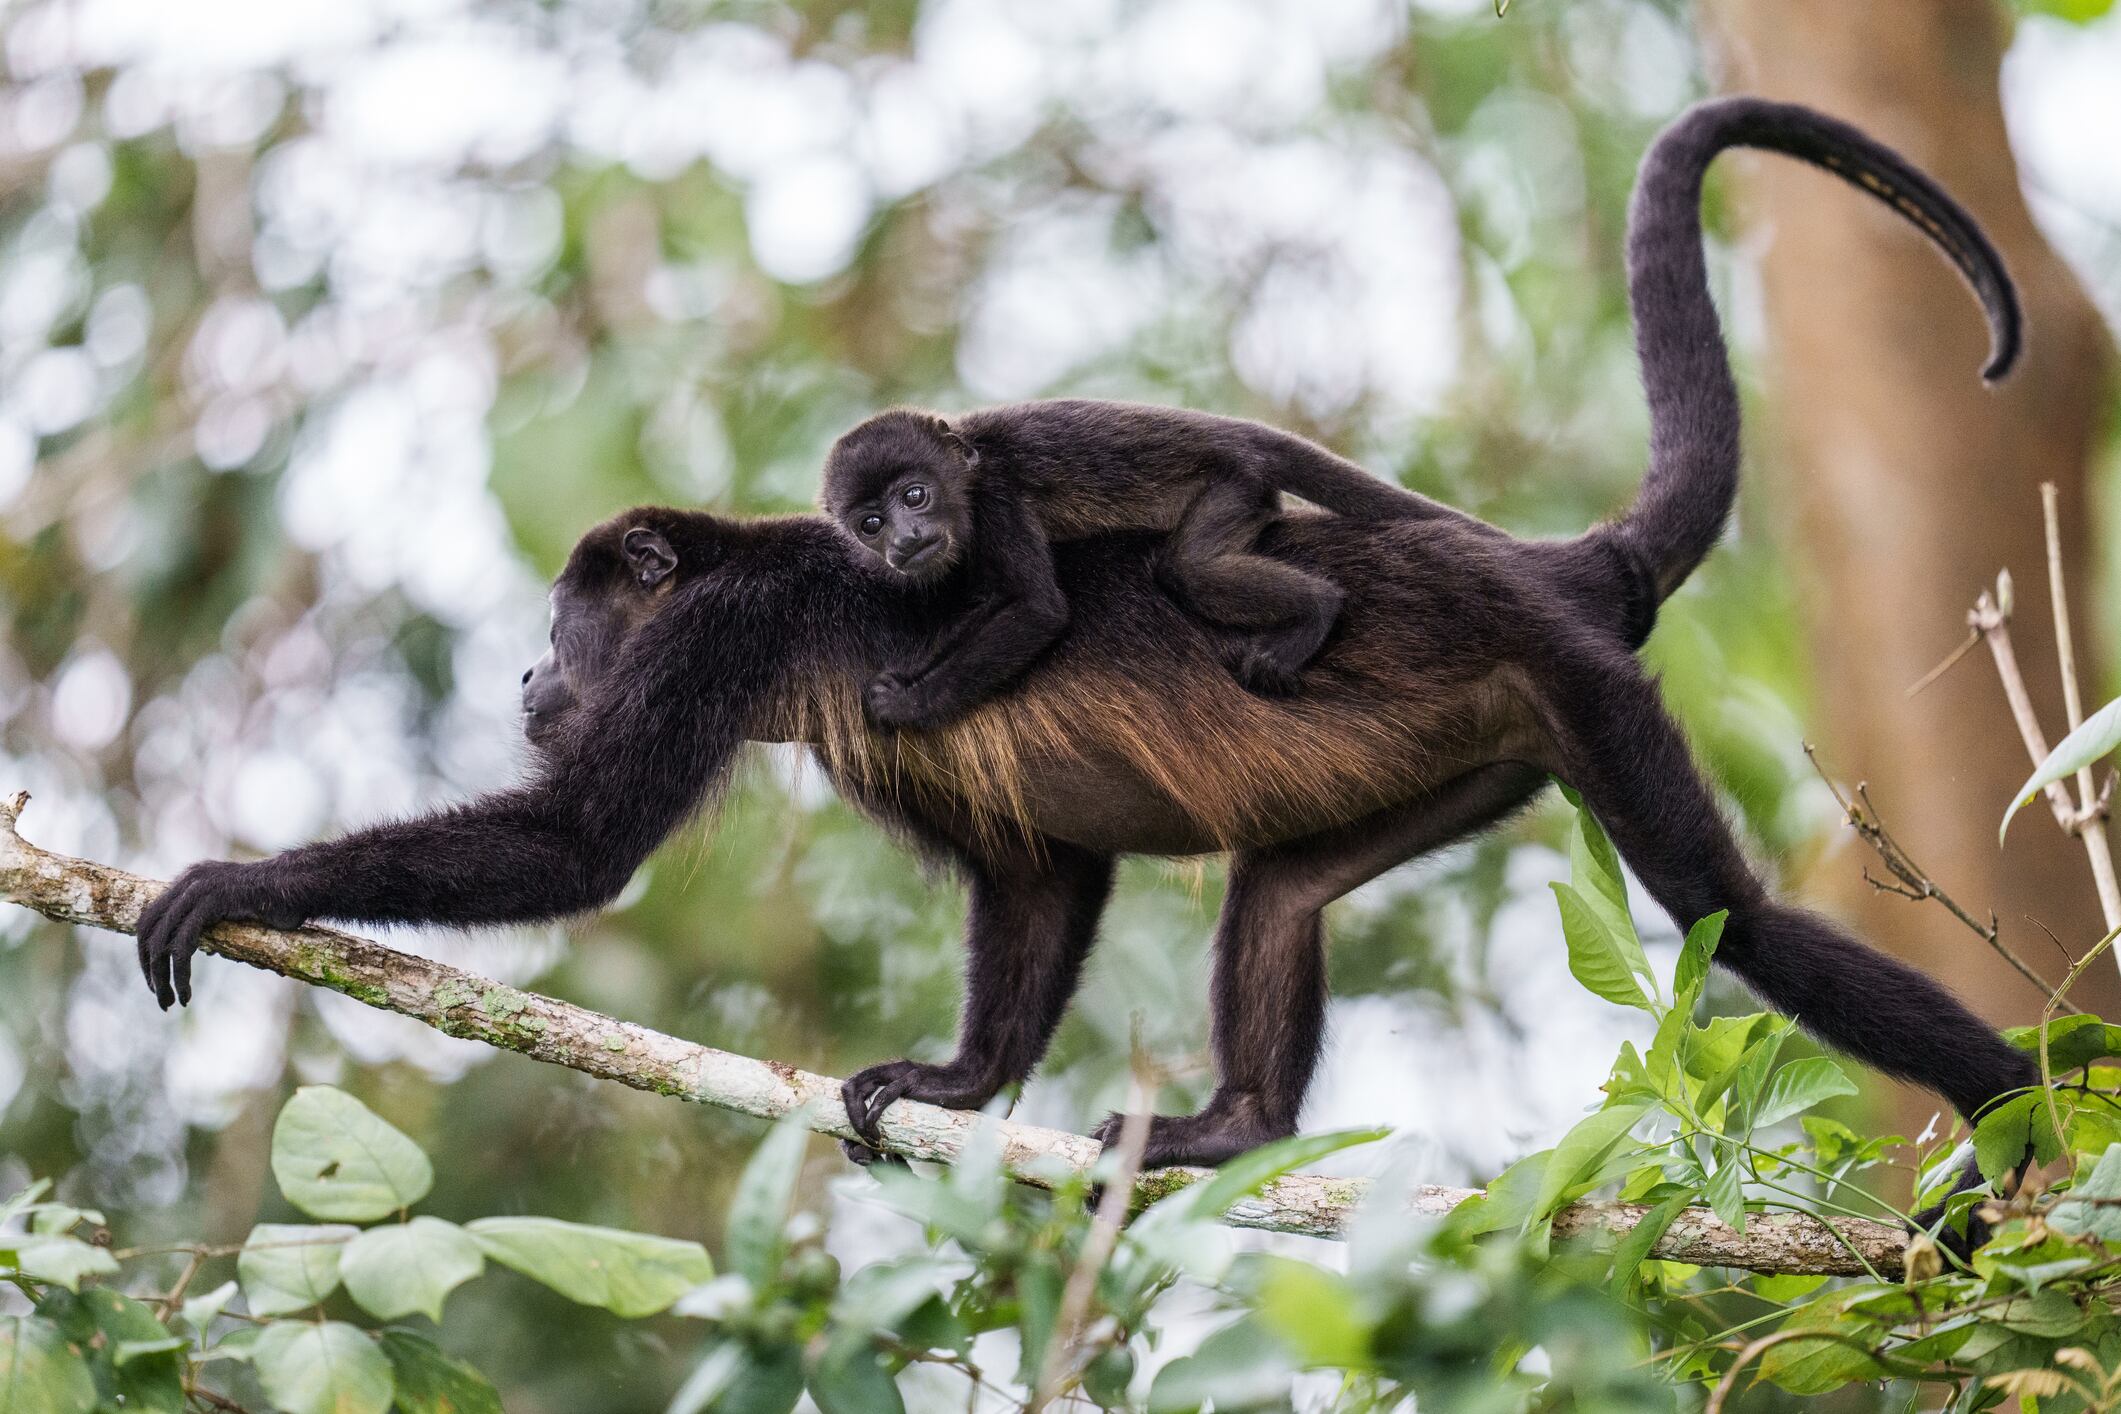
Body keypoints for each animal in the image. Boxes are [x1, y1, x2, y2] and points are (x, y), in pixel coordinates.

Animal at [141, 99, 2027, 1204]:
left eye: (565, 622)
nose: (530, 680)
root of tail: (1542, 563)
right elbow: (1039, 879)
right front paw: (962, 1077)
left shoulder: (725, 643)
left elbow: (576, 841)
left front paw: (235, 880)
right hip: (1486, 744)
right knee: (1280, 894)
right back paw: (1232, 1124)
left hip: (1573, 683)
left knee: (1748, 926)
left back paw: (2022, 1120)